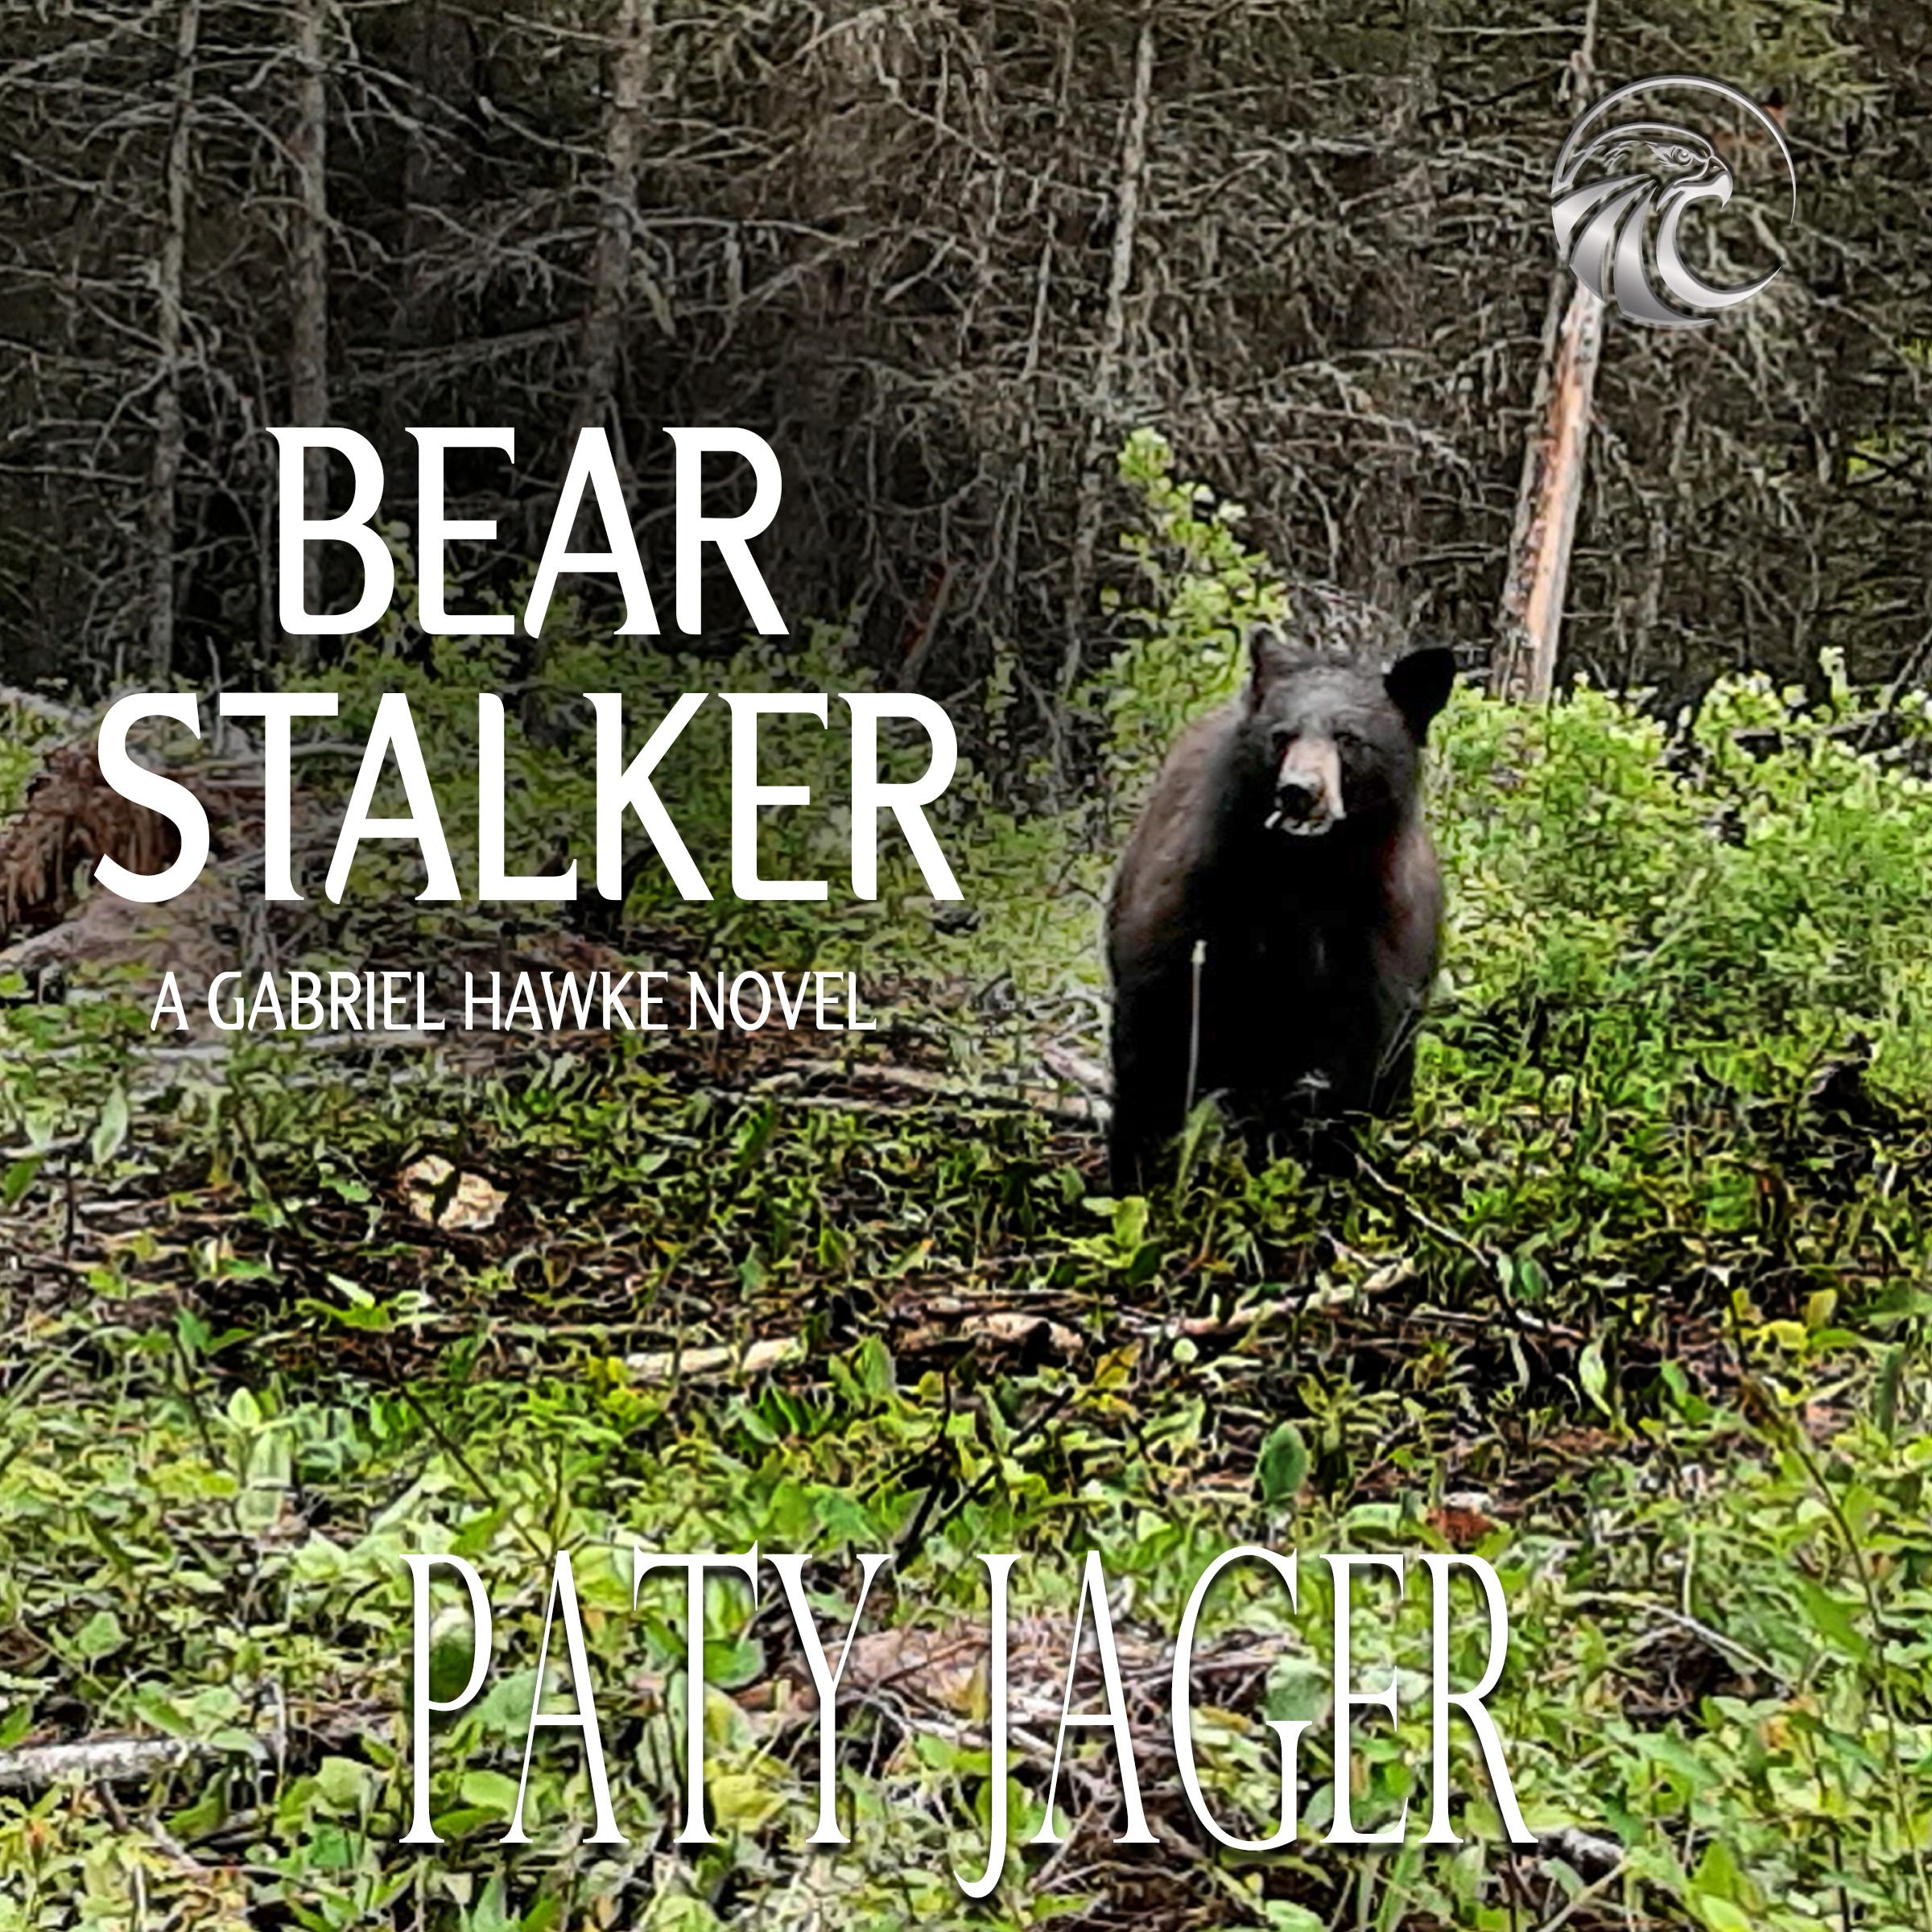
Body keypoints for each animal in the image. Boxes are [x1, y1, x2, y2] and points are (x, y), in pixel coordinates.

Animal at [1105, 609, 1455, 1193]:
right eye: (1283, 735)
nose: (1299, 791)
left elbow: (1353, 1073)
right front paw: (1137, 1176)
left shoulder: (1373, 946)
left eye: (1349, 738)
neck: (1300, 876)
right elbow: (1155, 1039)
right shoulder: (1198, 910)